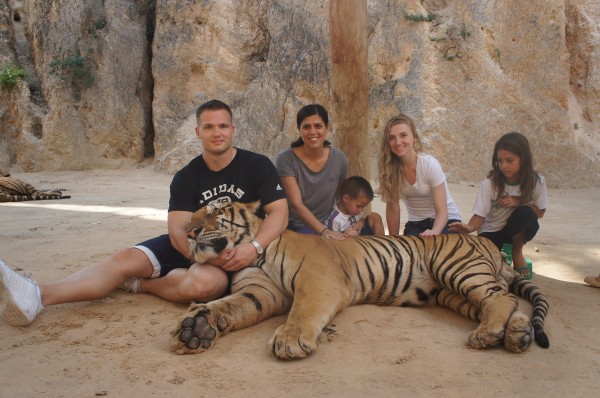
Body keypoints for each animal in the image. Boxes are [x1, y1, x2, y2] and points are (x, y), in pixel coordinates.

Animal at [169, 201, 548, 360]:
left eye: (216, 212)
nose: (189, 232)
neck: (254, 251)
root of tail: (488, 243)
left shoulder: (318, 279)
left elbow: (303, 310)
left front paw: (290, 339)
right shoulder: (261, 290)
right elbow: (230, 306)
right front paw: (196, 327)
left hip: (455, 267)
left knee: (502, 298)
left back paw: (488, 335)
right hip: (451, 293)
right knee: (503, 302)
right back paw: (517, 335)